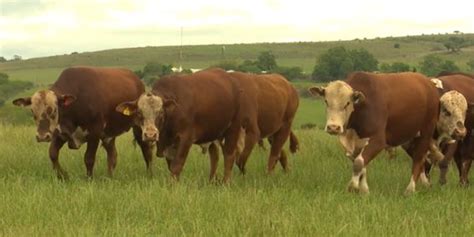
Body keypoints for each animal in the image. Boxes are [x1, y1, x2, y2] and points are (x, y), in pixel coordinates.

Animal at [12, 65, 152, 179]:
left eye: (54, 109)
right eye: (32, 111)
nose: (42, 136)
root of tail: (137, 80)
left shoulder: (94, 133)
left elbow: (88, 158)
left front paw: (89, 179)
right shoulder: (59, 133)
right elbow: (53, 154)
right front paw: (63, 176)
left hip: (139, 127)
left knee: (146, 149)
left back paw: (149, 173)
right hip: (109, 134)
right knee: (112, 155)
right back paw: (109, 177)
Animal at [312, 71, 440, 194]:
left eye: (347, 103)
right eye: (326, 101)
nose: (333, 127)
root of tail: (428, 82)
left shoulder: (378, 141)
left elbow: (358, 163)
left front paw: (353, 187)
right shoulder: (354, 144)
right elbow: (361, 166)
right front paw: (364, 190)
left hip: (425, 133)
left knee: (418, 158)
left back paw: (410, 189)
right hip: (408, 138)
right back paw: (425, 184)